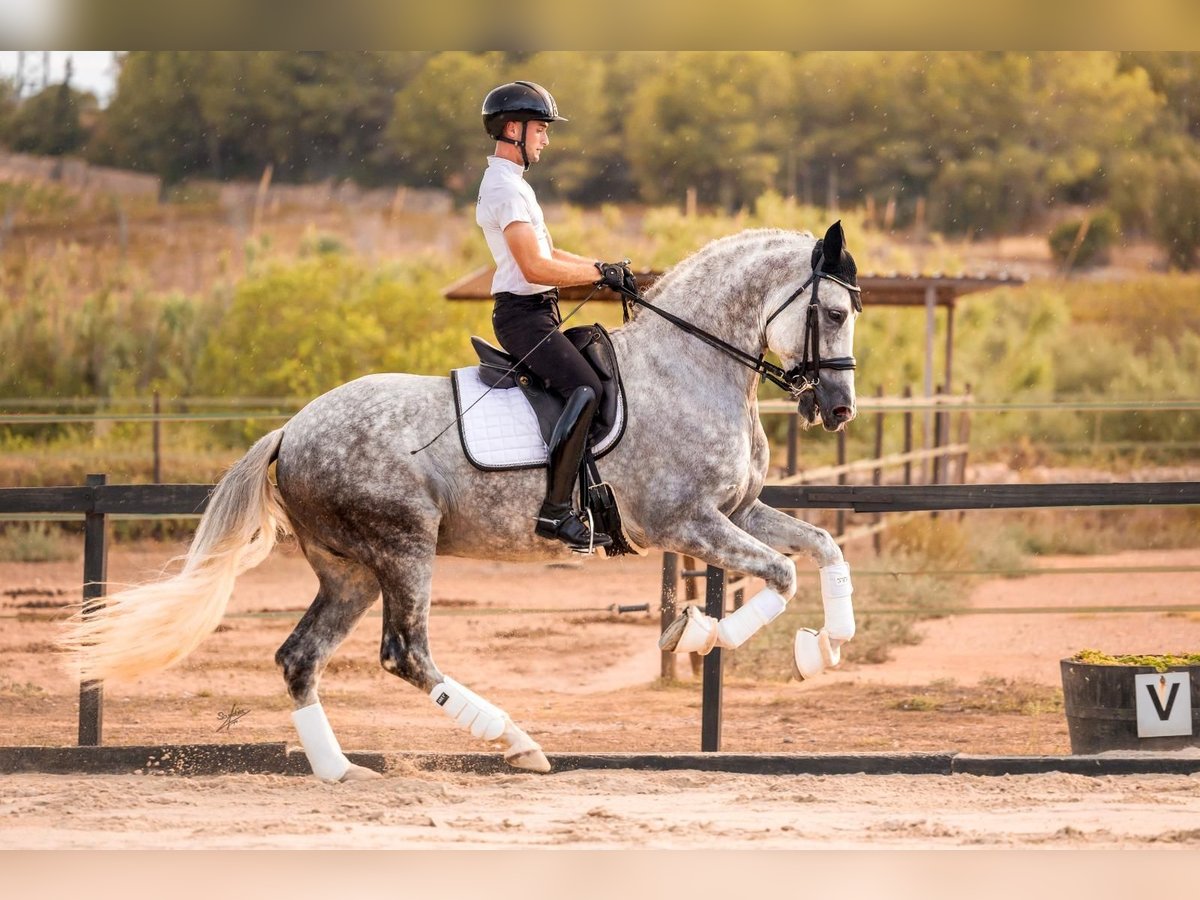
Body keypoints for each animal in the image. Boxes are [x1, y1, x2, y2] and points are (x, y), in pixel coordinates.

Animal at [63, 220, 864, 782]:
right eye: (831, 313)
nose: (836, 409)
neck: (690, 367)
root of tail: (290, 432)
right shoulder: (685, 521)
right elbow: (781, 575)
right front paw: (697, 636)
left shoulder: (738, 511)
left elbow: (823, 549)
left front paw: (825, 645)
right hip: (404, 548)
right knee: (406, 653)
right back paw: (515, 742)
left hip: (350, 571)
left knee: (300, 657)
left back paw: (340, 771)